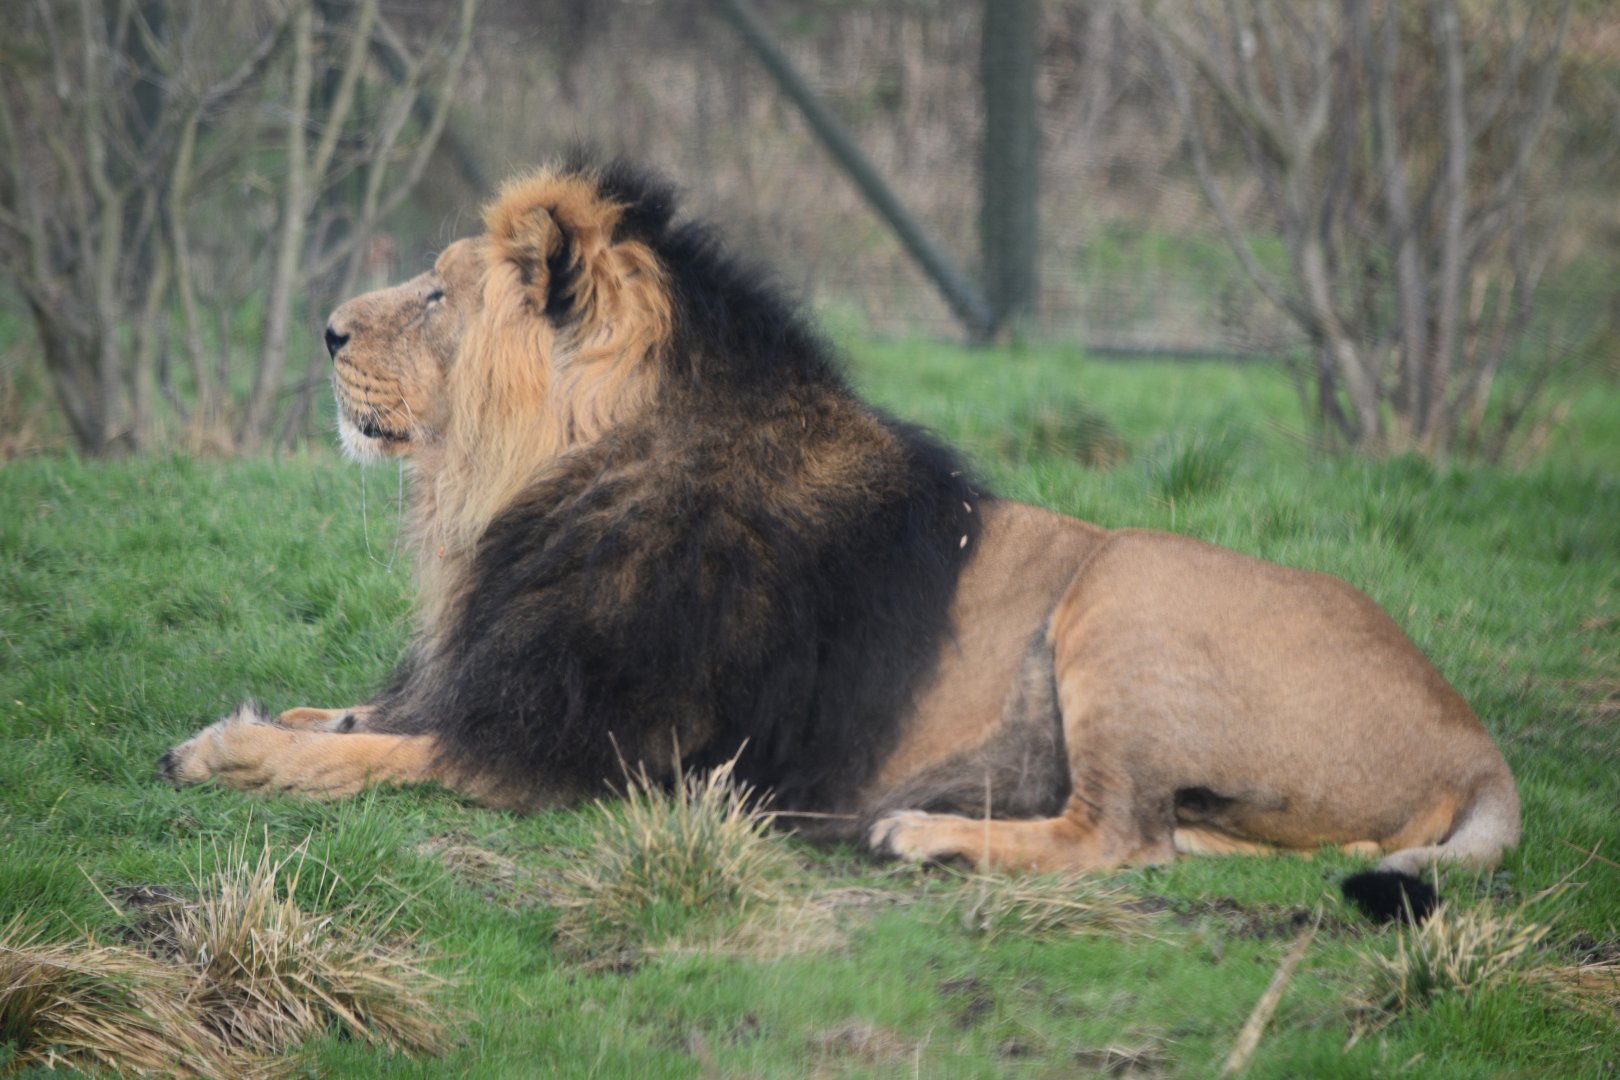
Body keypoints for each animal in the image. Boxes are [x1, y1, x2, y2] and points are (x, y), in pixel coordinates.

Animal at [160, 157, 1519, 921]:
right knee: (1171, 843)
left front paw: (229, 751)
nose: (328, 331)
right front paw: (266, 718)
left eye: (438, 293)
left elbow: (374, 754)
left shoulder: (597, 749)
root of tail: (1473, 733)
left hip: (1130, 581)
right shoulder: (508, 682)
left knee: (1117, 839)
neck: (535, 489)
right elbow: (357, 713)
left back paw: (928, 836)